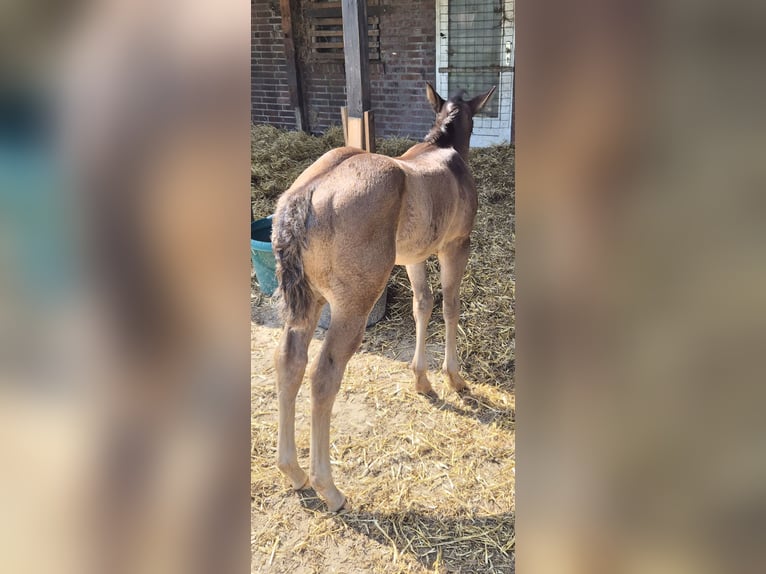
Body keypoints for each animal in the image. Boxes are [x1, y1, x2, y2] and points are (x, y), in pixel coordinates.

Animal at [271, 82, 496, 511]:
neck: (444, 151)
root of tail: (306, 194)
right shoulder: (455, 245)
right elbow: (450, 306)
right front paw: (454, 377)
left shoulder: (414, 256)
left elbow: (423, 304)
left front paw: (422, 380)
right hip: (352, 304)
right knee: (323, 375)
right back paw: (329, 488)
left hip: (307, 299)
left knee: (289, 361)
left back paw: (293, 472)